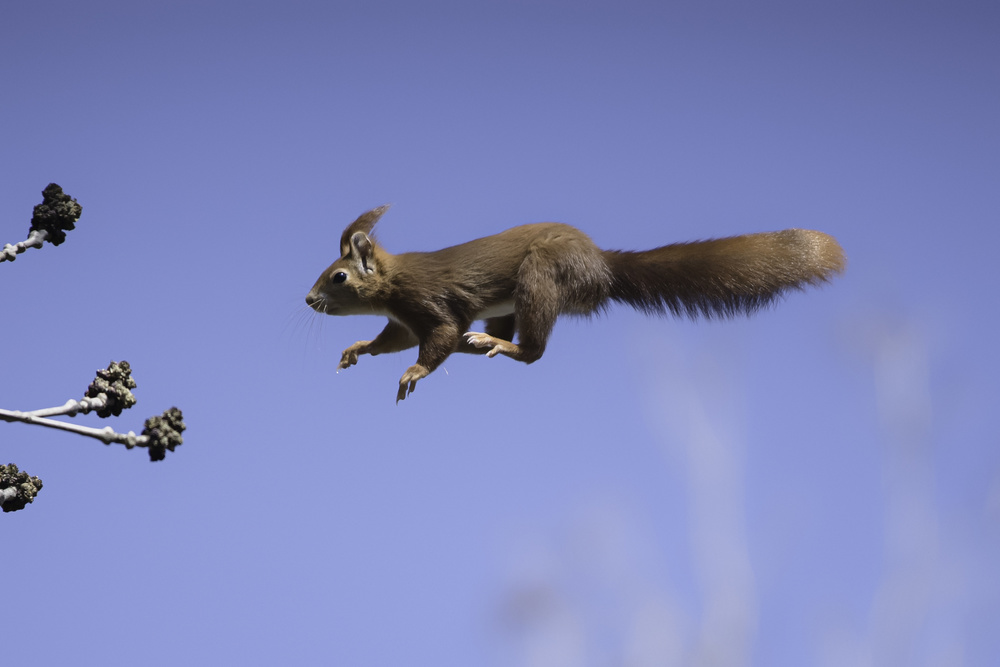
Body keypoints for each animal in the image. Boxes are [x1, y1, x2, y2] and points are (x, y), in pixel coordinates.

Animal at [304, 204, 844, 402]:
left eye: (338, 276)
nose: (308, 300)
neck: (395, 287)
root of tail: (602, 266)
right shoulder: (402, 322)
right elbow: (391, 339)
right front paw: (356, 349)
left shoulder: (429, 302)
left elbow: (437, 337)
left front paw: (413, 373)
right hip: (515, 301)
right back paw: (481, 342)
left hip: (541, 277)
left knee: (532, 350)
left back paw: (500, 345)